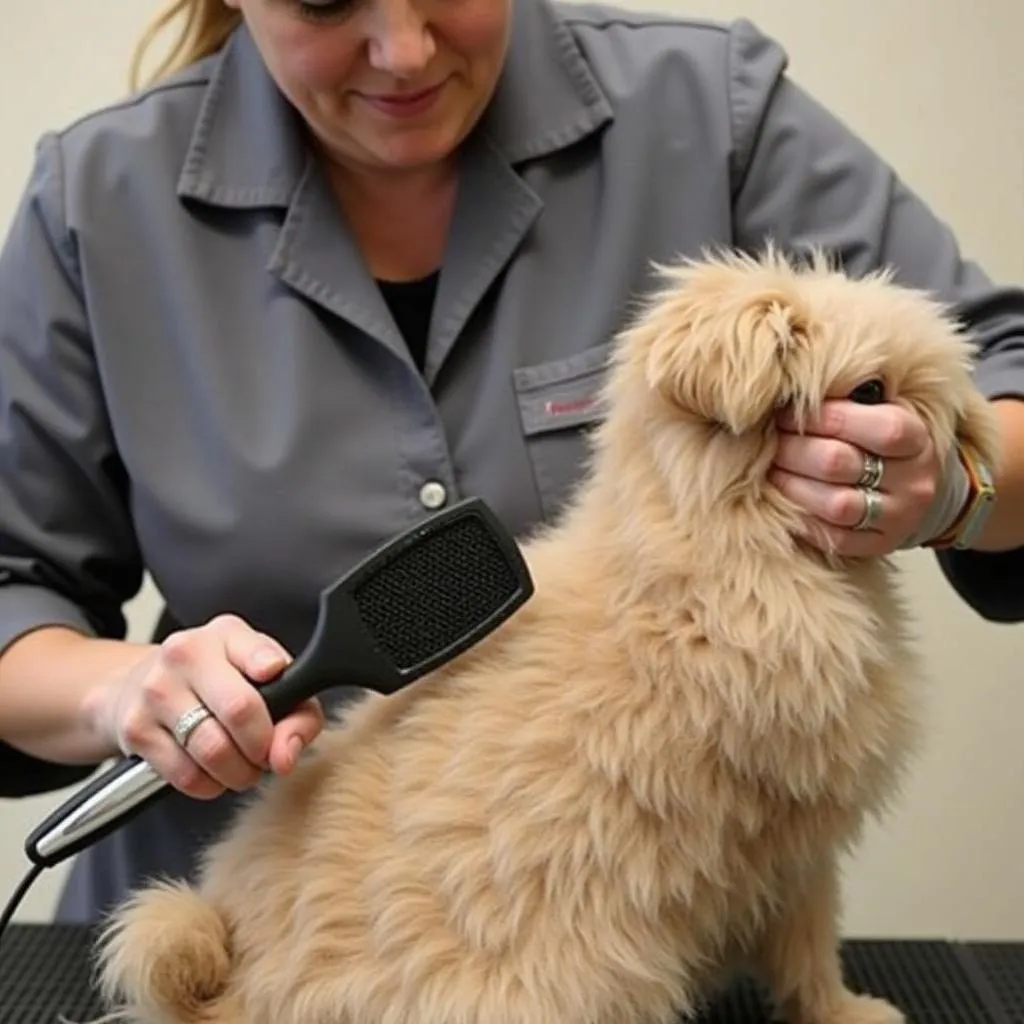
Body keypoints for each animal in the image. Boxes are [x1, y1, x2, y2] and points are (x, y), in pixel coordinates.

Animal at [94, 249, 999, 1024]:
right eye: (872, 392)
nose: (956, 422)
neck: (706, 553)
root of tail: (234, 991)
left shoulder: (794, 853)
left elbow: (808, 949)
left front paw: (842, 1010)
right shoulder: (788, 836)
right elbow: (809, 940)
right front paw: (846, 1012)